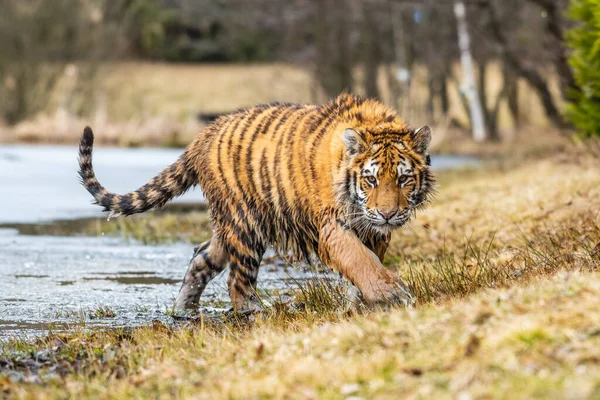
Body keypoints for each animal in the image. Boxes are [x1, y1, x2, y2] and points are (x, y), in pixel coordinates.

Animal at [78, 92, 436, 310]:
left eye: (403, 179)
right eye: (370, 179)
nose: (388, 214)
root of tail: (205, 133)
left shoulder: (374, 231)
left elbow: (368, 261)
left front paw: (360, 302)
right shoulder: (332, 225)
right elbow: (359, 259)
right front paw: (390, 294)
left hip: (228, 228)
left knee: (201, 258)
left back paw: (183, 310)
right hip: (246, 225)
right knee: (238, 283)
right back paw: (256, 313)